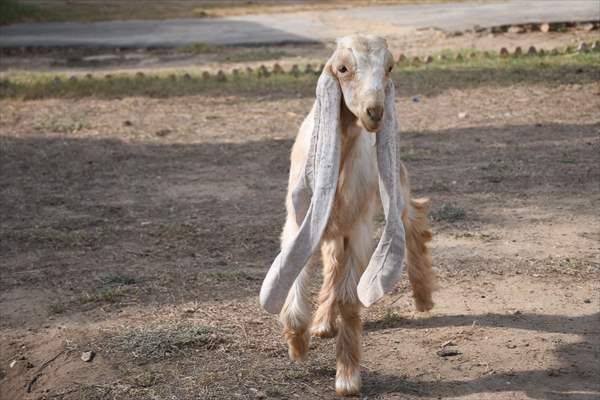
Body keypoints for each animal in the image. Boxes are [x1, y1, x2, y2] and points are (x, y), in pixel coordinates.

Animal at [258, 35, 436, 396]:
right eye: (342, 68)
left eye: (390, 66)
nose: (375, 112)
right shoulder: (299, 222)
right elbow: (297, 272)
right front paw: (297, 344)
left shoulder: (358, 225)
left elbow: (349, 298)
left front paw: (348, 377)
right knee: (332, 260)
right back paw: (323, 324)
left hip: (392, 183)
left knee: (412, 217)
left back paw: (423, 296)